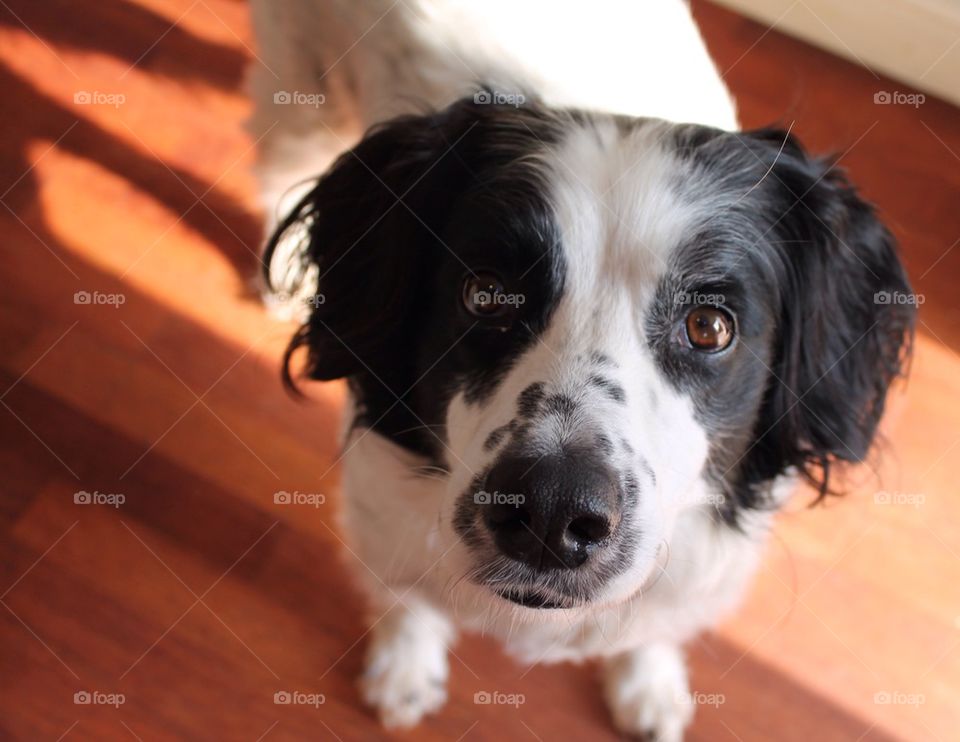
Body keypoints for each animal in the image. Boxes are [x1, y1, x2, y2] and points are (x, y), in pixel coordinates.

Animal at [249, 2, 916, 740]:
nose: (550, 508)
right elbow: (405, 597)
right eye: (485, 294)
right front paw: (405, 668)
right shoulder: (383, 514)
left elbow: (655, 628)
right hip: (299, 69)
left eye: (709, 327)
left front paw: (649, 683)